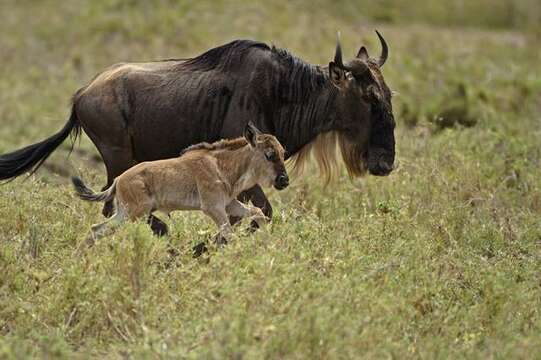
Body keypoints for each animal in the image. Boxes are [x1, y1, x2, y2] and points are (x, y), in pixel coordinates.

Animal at [75, 123, 292, 245]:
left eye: (283, 152)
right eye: (269, 154)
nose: (284, 180)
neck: (222, 166)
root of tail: (119, 180)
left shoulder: (230, 204)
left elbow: (258, 213)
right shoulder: (213, 208)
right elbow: (230, 235)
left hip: (125, 213)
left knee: (95, 230)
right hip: (135, 214)